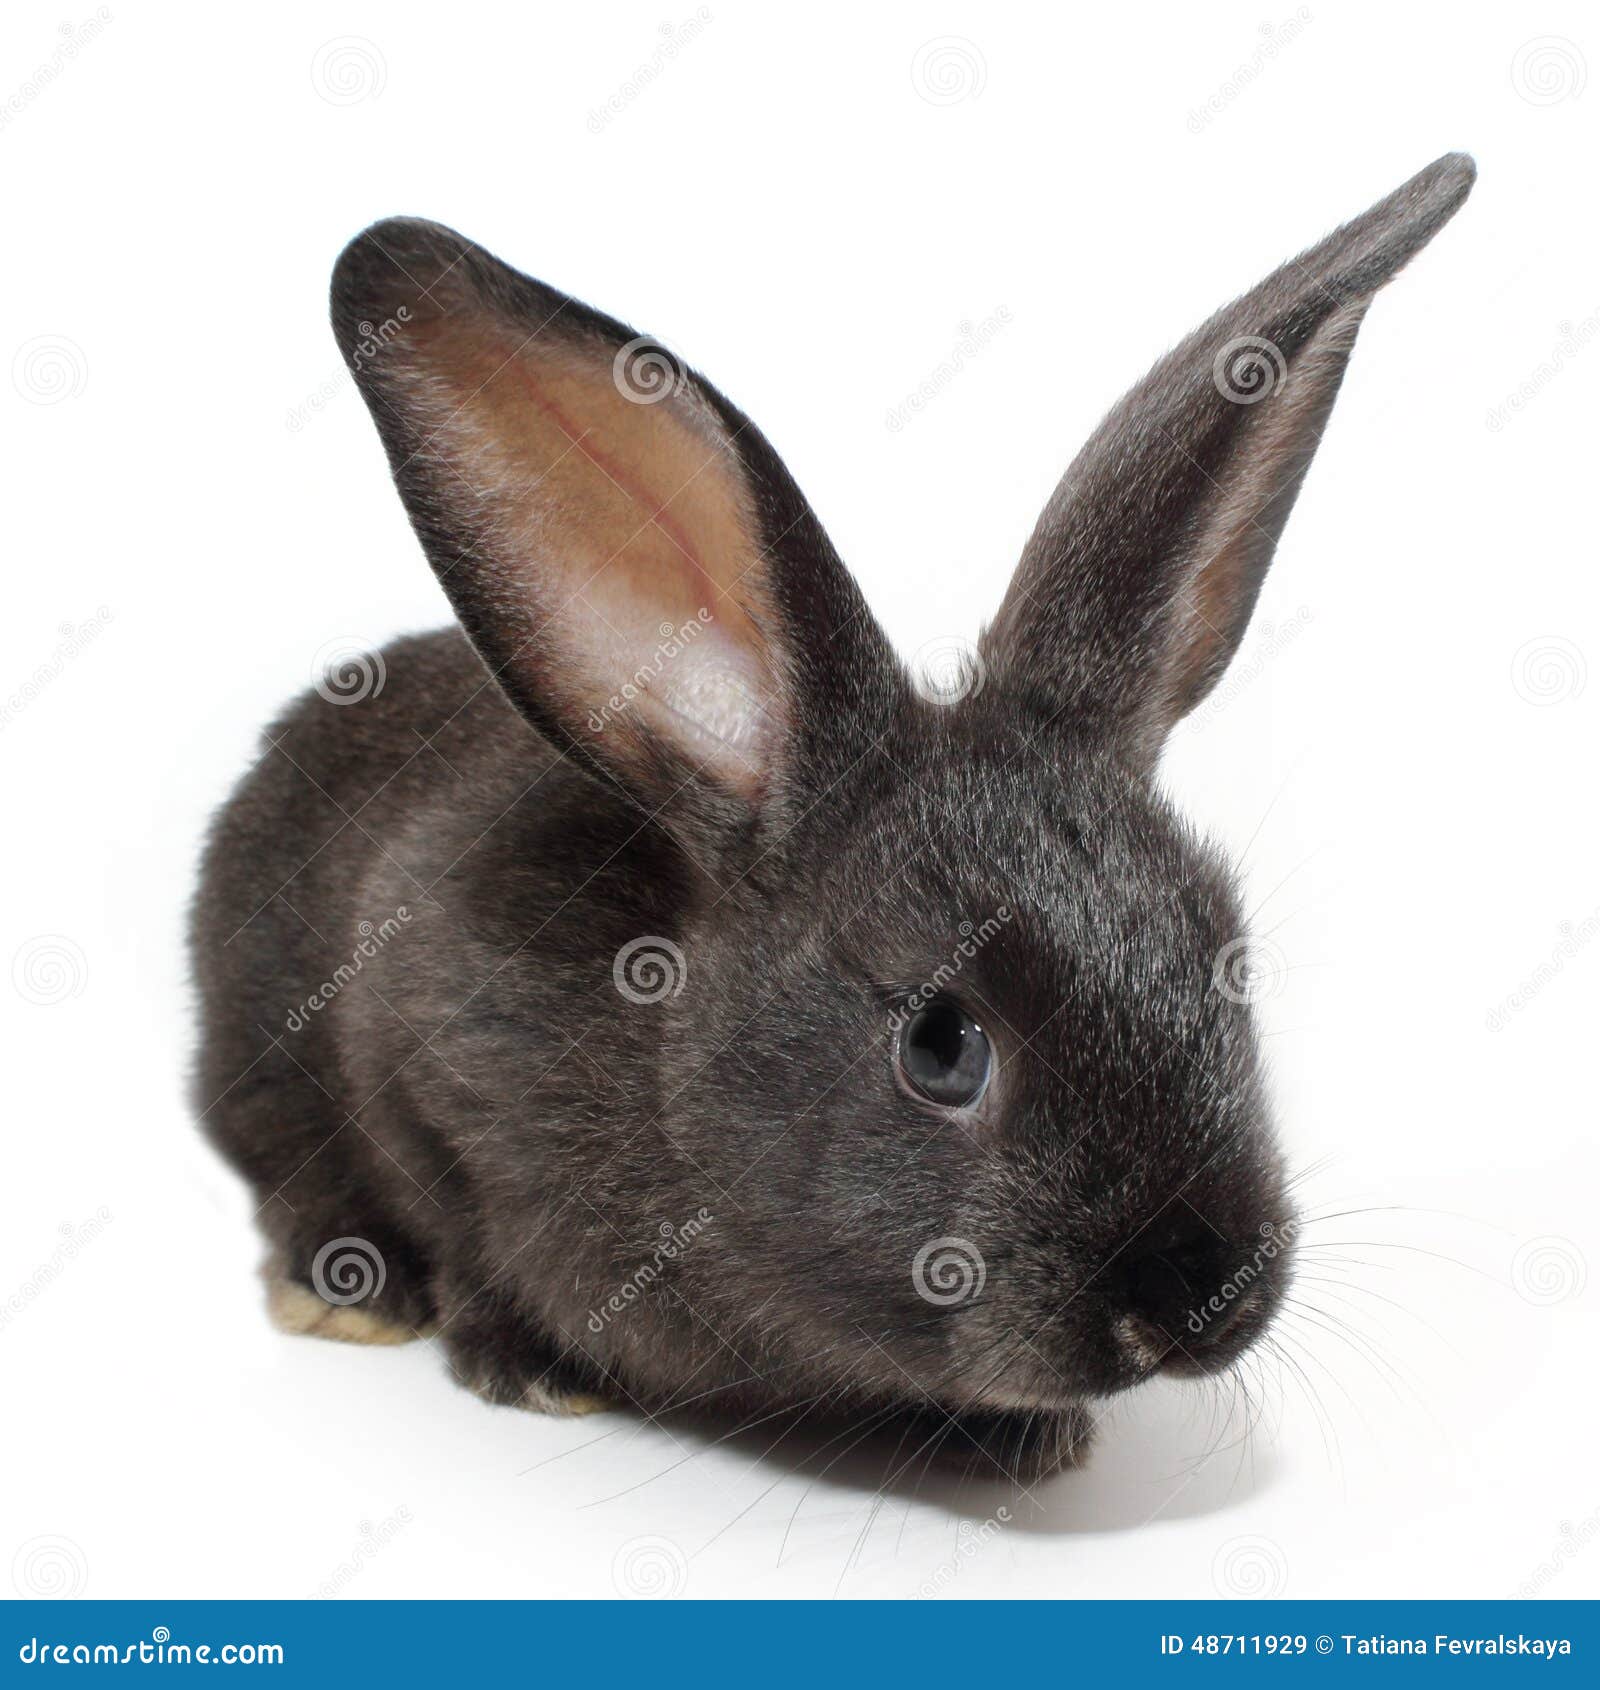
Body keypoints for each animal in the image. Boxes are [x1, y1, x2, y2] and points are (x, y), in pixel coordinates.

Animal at [191, 153, 1474, 1482]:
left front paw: (1030, 1442)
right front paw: (526, 1362)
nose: (1195, 1301)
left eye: (1228, 963)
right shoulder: (412, 1047)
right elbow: (459, 1220)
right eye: (940, 1046)